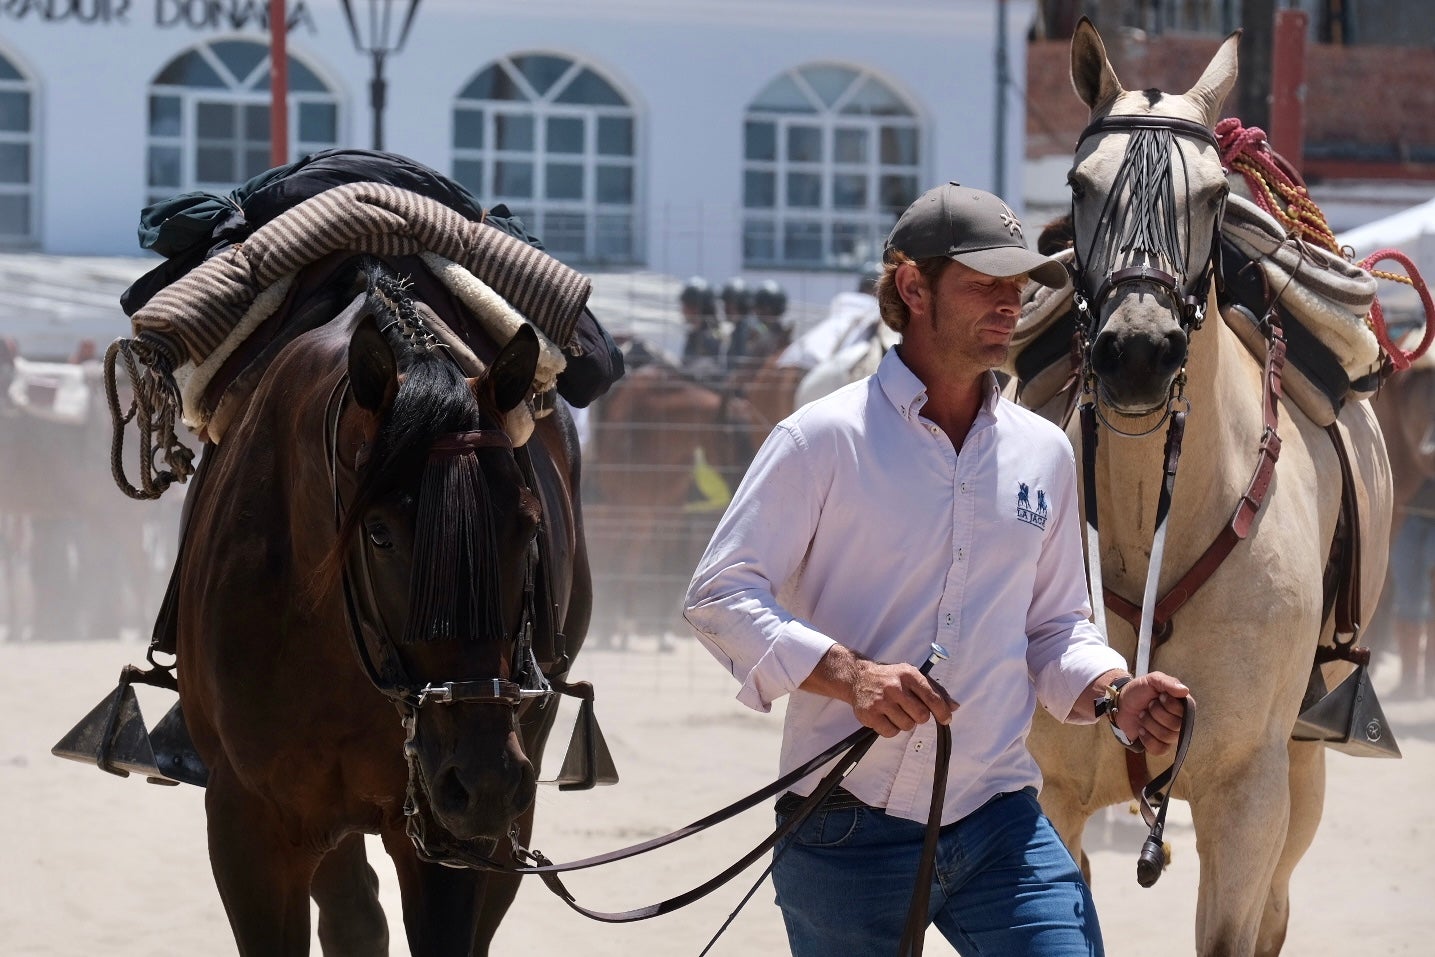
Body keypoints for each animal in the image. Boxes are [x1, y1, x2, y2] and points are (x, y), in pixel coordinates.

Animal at [1027, 22, 1394, 957]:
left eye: (1213, 193)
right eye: (1078, 186)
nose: (1137, 351)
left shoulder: (1247, 793)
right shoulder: (1052, 786)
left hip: (1300, 769)